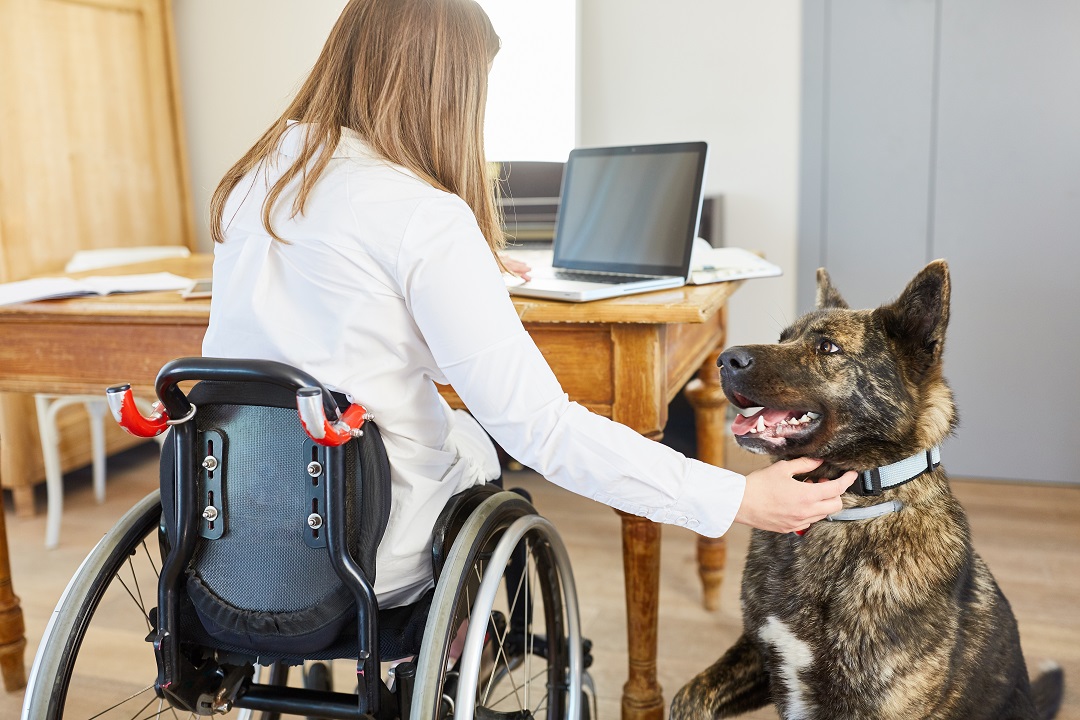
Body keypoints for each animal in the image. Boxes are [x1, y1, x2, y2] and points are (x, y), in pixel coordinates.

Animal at [673, 260, 1062, 720]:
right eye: (783, 338)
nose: (723, 359)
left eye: (827, 347)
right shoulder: (760, 651)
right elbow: (689, 697)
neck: (844, 512)